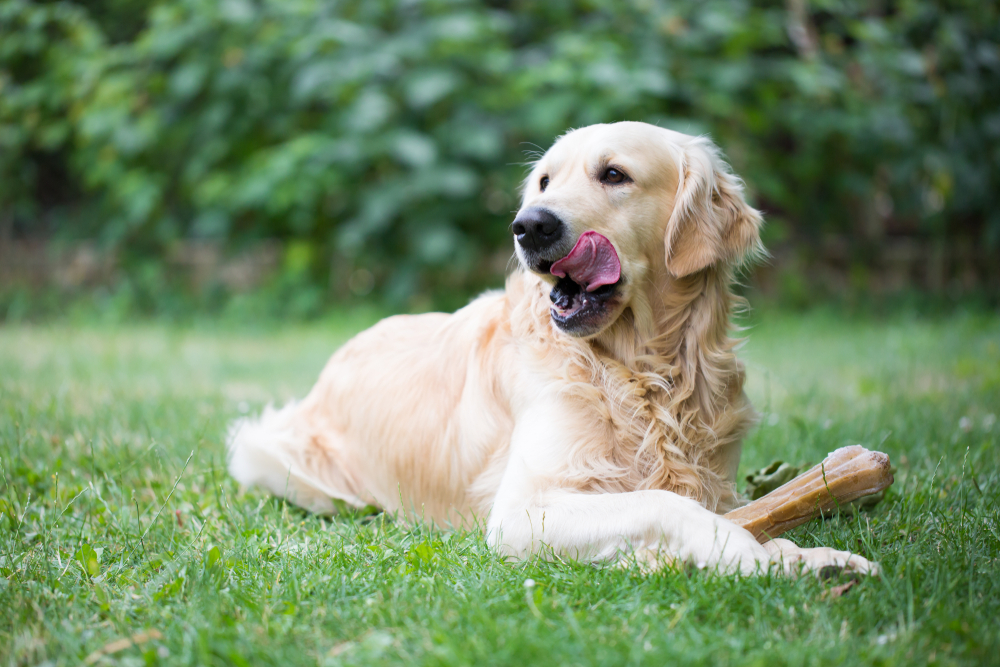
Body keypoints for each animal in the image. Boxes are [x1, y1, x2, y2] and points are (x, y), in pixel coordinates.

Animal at [227, 122, 876, 576]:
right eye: (544, 181)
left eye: (614, 175)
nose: (528, 225)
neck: (642, 372)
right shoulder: (521, 511)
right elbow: (665, 506)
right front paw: (745, 555)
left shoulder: (712, 480)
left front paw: (808, 557)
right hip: (276, 458)